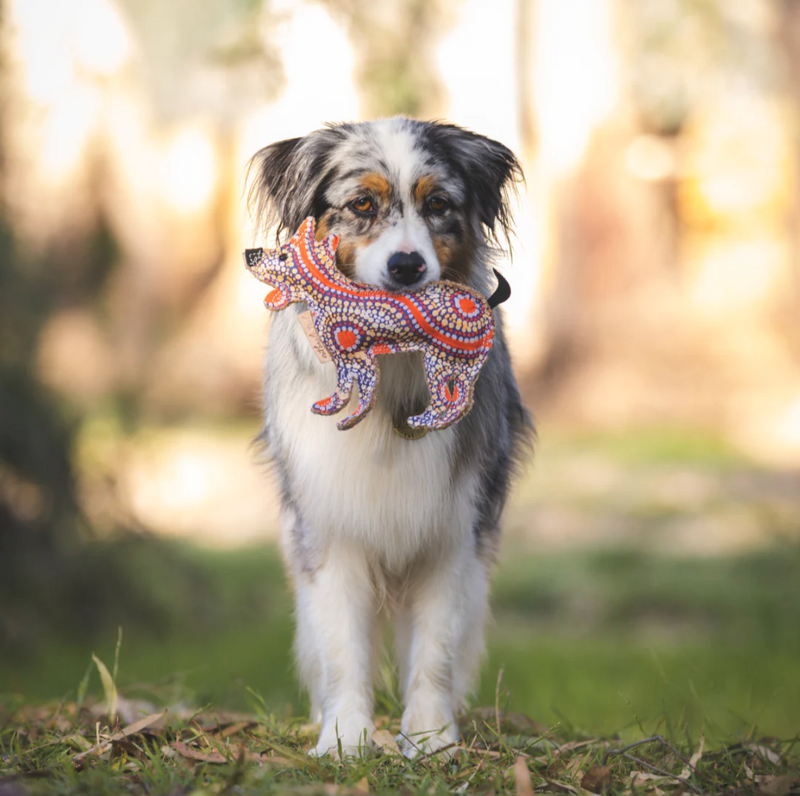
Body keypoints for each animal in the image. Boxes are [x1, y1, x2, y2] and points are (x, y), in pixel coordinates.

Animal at [247, 115, 536, 756]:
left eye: (438, 205)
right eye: (361, 203)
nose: (408, 266)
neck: (394, 360)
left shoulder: (454, 526)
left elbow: (435, 648)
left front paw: (430, 738)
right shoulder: (328, 527)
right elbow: (342, 646)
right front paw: (344, 738)